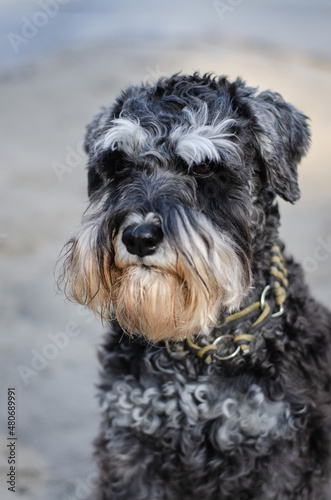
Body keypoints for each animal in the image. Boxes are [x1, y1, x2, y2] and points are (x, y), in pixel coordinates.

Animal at [59, 72, 331, 498]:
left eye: (203, 169)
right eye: (119, 165)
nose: (138, 236)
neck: (199, 348)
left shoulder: (285, 458)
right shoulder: (131, 448)